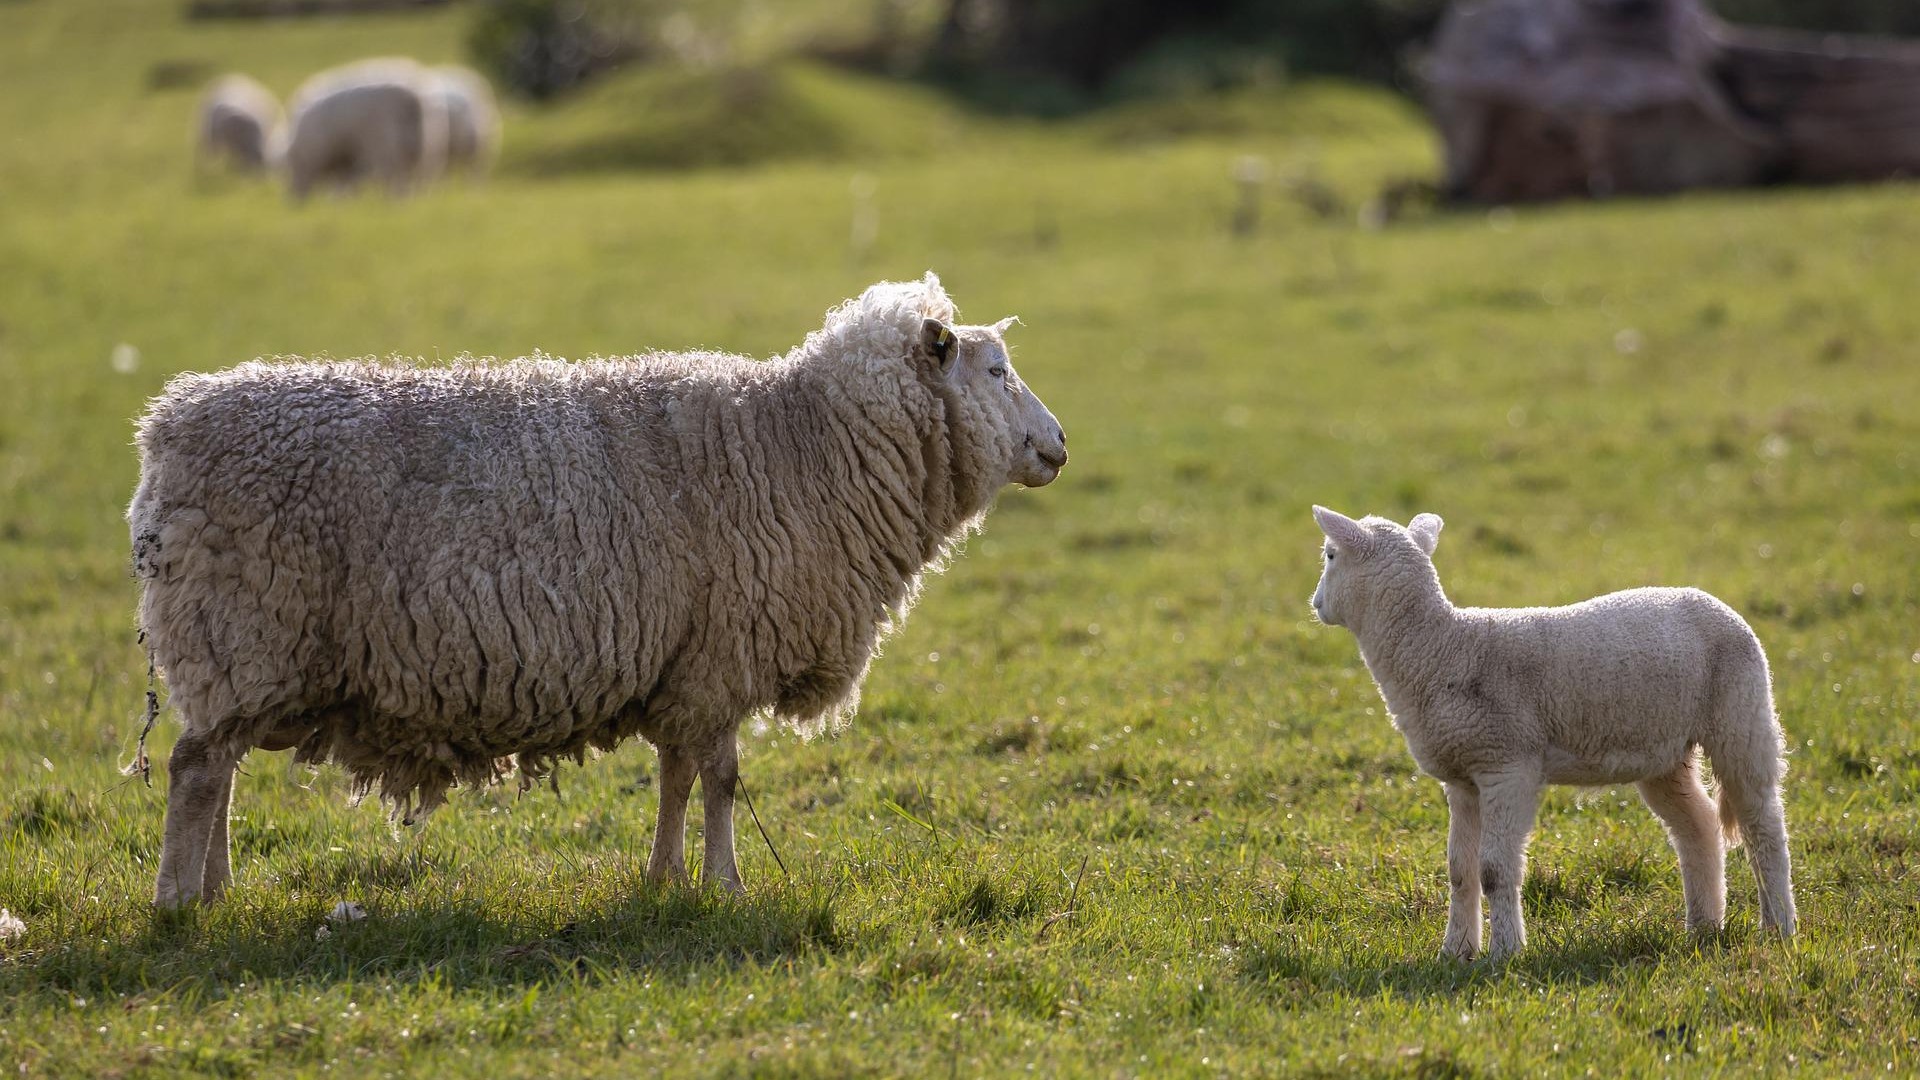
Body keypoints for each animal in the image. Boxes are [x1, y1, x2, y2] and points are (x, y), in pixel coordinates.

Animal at [129, 272, 1067, 908]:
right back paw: (179, 902)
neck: (804, 445)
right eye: (995, 372)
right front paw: (726, 884)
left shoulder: (686, 662)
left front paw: (665, 878)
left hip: (241, 653)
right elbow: (722, 779)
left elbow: (677, 776)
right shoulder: (723, 654)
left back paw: (216, 888)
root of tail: (167, 429)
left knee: (219, 768)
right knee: (195, 770)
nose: (1059, 444)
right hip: (240, 630)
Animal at [281, 58, 447, 200]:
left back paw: (394, 201)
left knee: (396, 181)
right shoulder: (346, 160)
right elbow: (346, 184)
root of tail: (412, 99)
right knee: (417, 180)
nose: (292, 202)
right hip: (424, 151)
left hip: (390, 150)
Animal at [1308, 505, 1795, 960]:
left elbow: (1493, 870)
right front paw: (1456, 952)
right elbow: (1460, 871)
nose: (1315, 604)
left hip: (1741, 716)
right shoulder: (1463, 777)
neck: (1441, 649)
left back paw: (1778, 928)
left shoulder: (1506, 765)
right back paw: (1704, 927)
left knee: (1763, 826)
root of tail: (1718, 604)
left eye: (1330, 555)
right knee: (1698, 826)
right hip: (1664, 751)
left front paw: (1504, 953)